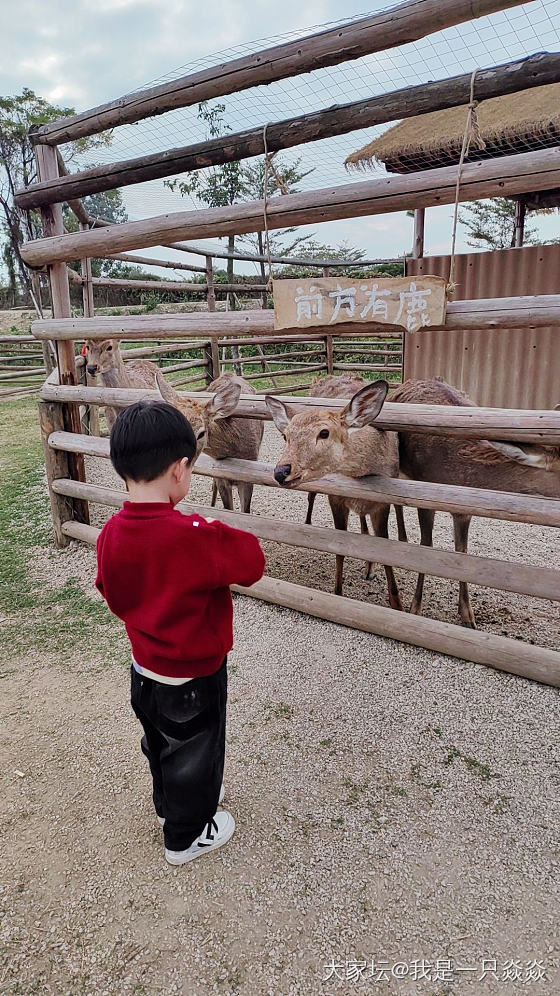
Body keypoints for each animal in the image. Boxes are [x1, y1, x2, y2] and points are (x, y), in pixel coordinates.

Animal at [266, 380, 402, 608]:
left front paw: (397, 604)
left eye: (324, 433)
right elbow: (340, 548)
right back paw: (308, 523)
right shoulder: (336, 497)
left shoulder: (383, 502)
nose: (281, 471)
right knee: (312, 497)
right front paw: (337, 593)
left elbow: (384, 549)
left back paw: (369, 567)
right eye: (286, 435)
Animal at [390, 378, 560, 628]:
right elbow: (427, 546)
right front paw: (415, 608)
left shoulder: (465, 509)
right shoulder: (425, 494)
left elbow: (462, 551)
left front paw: (467, 615)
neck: (460, 475)